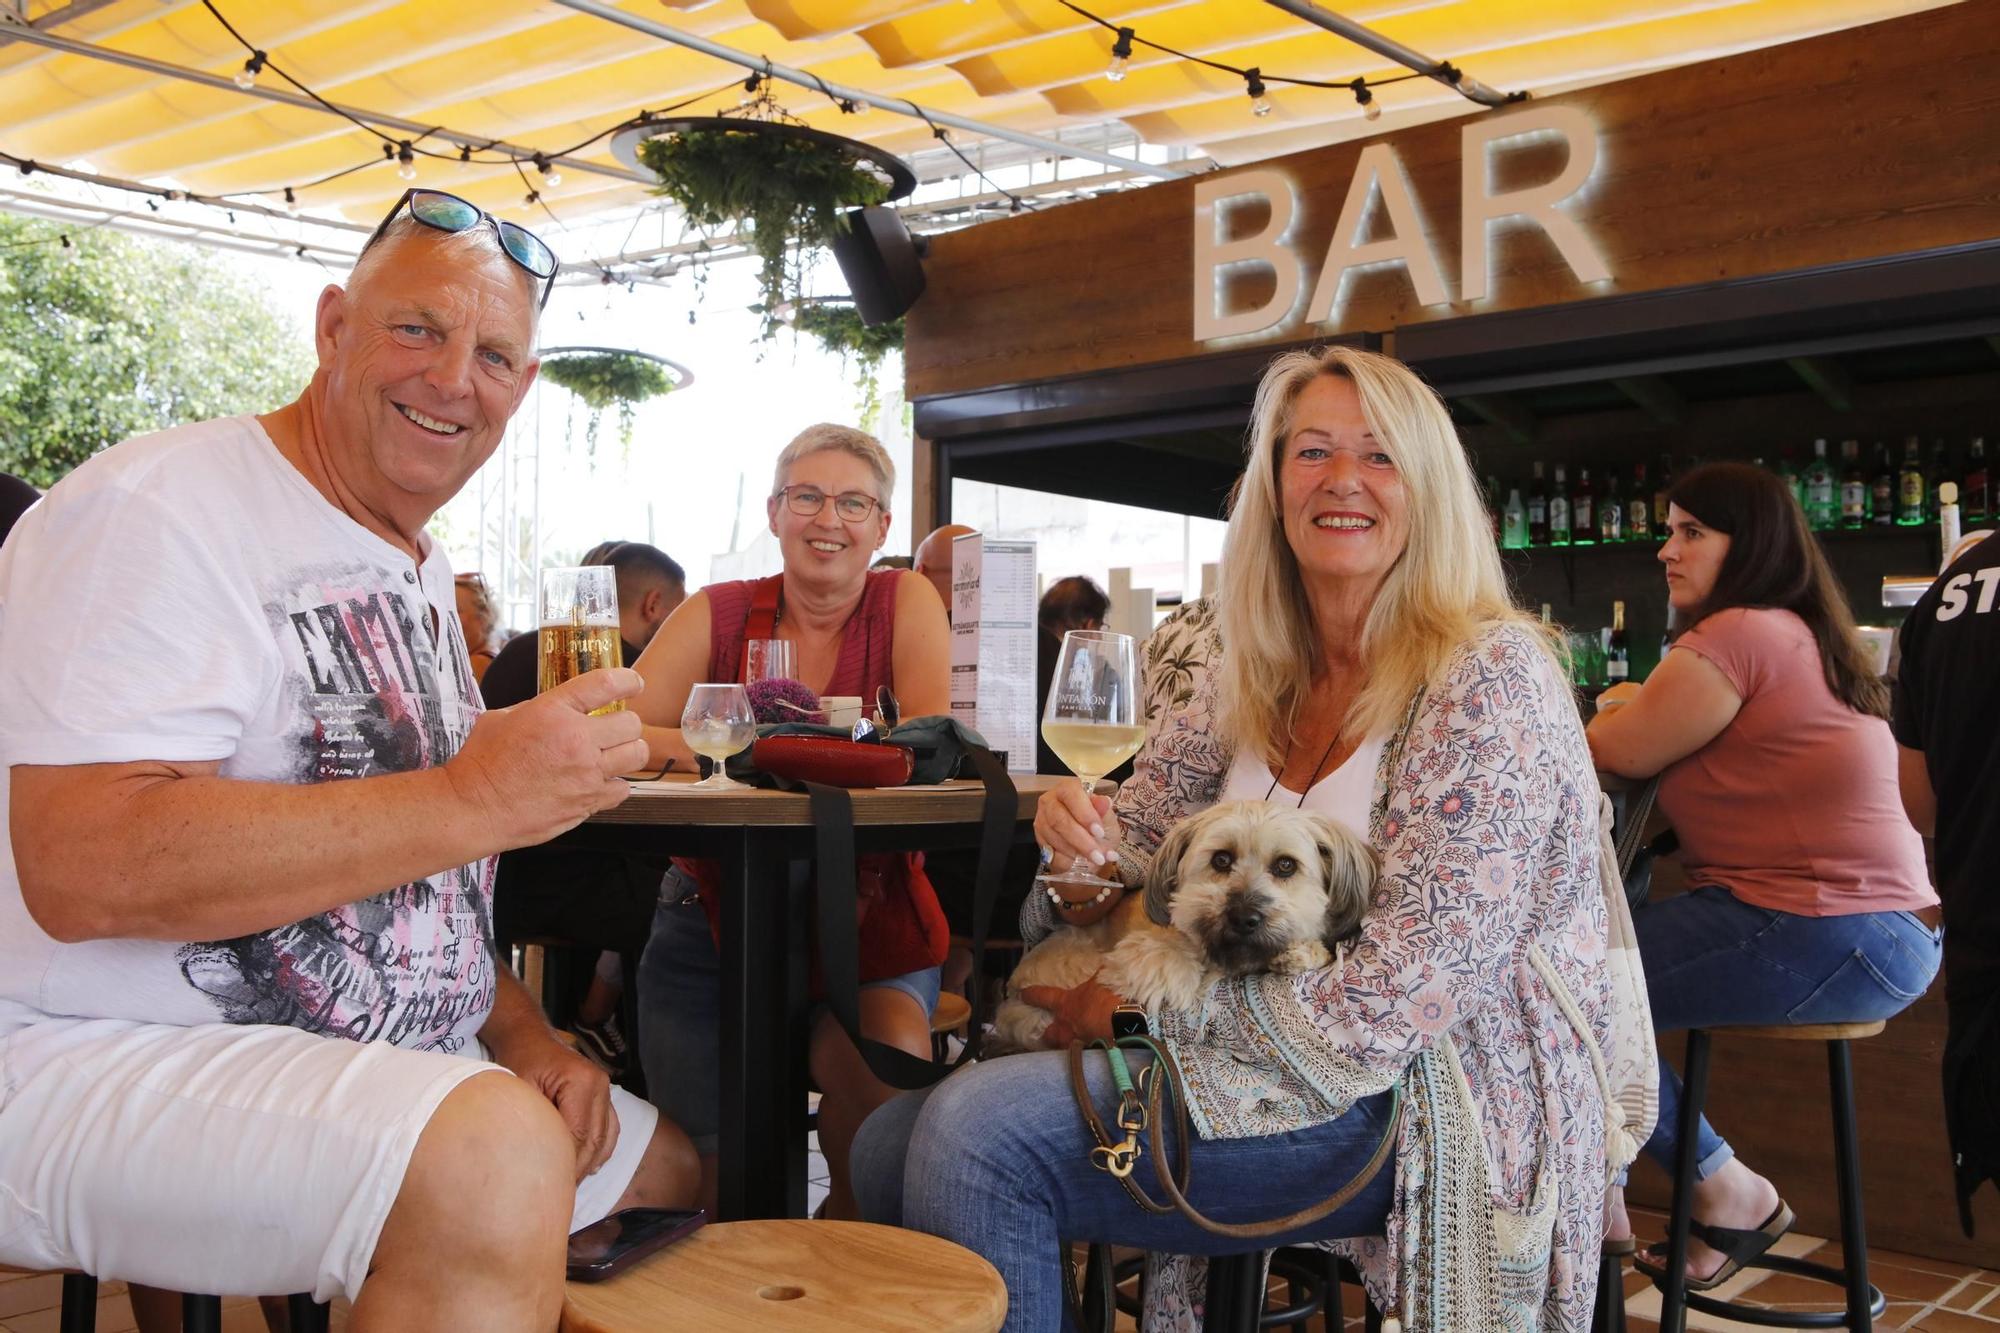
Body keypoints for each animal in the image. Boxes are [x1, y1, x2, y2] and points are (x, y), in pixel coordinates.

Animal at [996, 800, 1384, 1048]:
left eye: (1286, 865)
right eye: (1221, 859)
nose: (1243, 918)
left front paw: (1304, 952)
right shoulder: (1135, 957)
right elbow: (1165, 961)